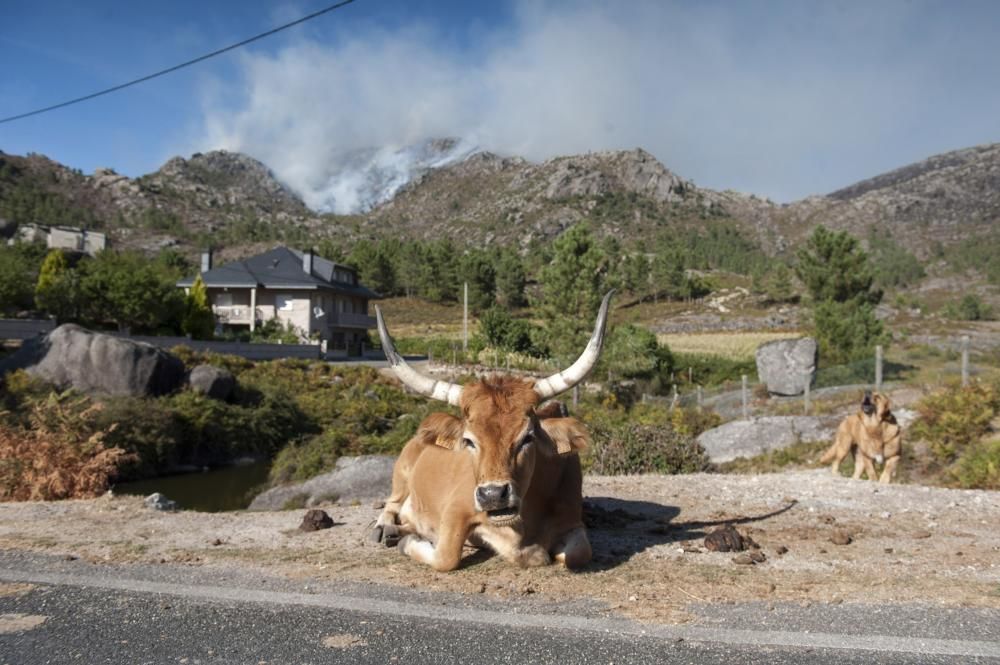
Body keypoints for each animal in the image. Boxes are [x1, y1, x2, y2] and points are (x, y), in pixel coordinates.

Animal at [370, 294, 608, 568]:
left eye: (528, 437)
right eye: (469, 441)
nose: (493, 495)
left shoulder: (572, 521)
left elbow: (579, 553)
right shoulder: (455, 511)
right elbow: (446, 557)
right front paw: (410, 543)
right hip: (401, 474)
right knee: (392, 504)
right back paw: (387, 530)